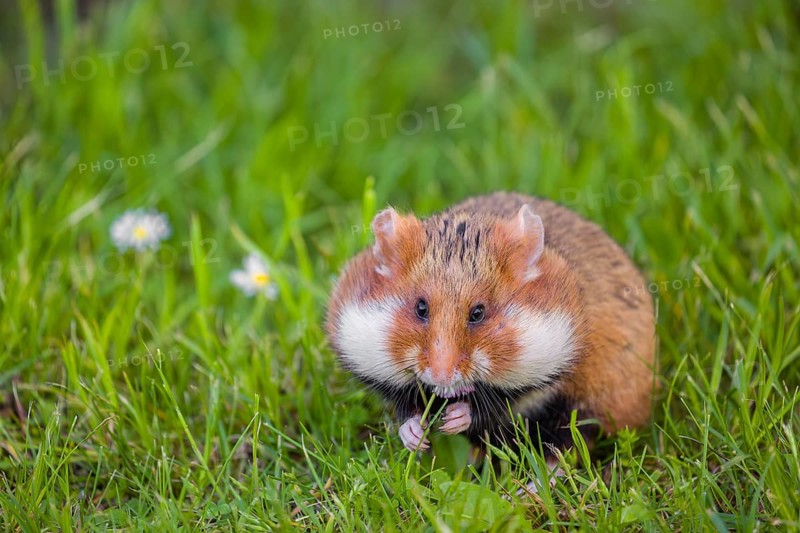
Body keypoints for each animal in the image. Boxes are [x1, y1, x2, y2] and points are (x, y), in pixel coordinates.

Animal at [325, 192, 655, 465]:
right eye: (420, 308)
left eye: (478, 313)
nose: (441, 379)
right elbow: (405, 408)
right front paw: (416, 437)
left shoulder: (544, 379)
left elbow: (492, 406)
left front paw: (454, 419)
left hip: (591, 405)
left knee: (566, 449)